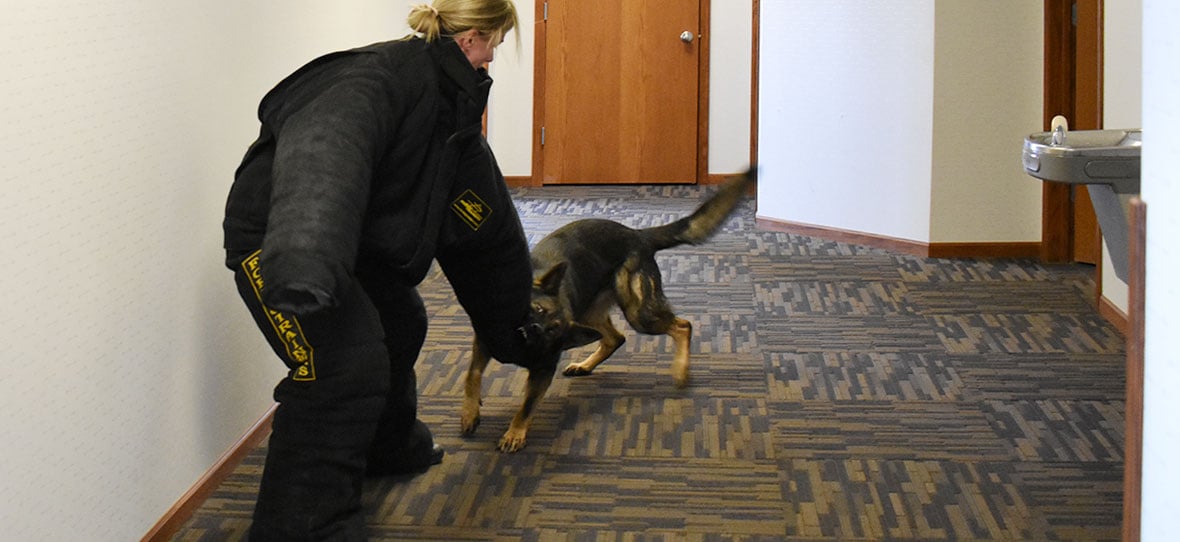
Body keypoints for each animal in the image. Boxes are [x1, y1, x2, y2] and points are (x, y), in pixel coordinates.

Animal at [455, 172, 750, 451]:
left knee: (682, 325)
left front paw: (514, 433)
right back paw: (585, 365)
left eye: (554, 330)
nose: (534, 329)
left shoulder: (542, 372)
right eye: (536, 309)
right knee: (615, 338)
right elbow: (472, 376)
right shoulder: (483, 341)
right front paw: (470, 411)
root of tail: (638, 235)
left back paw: (680, 370)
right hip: (589, 314)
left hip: (638, 313)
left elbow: (526, 406)